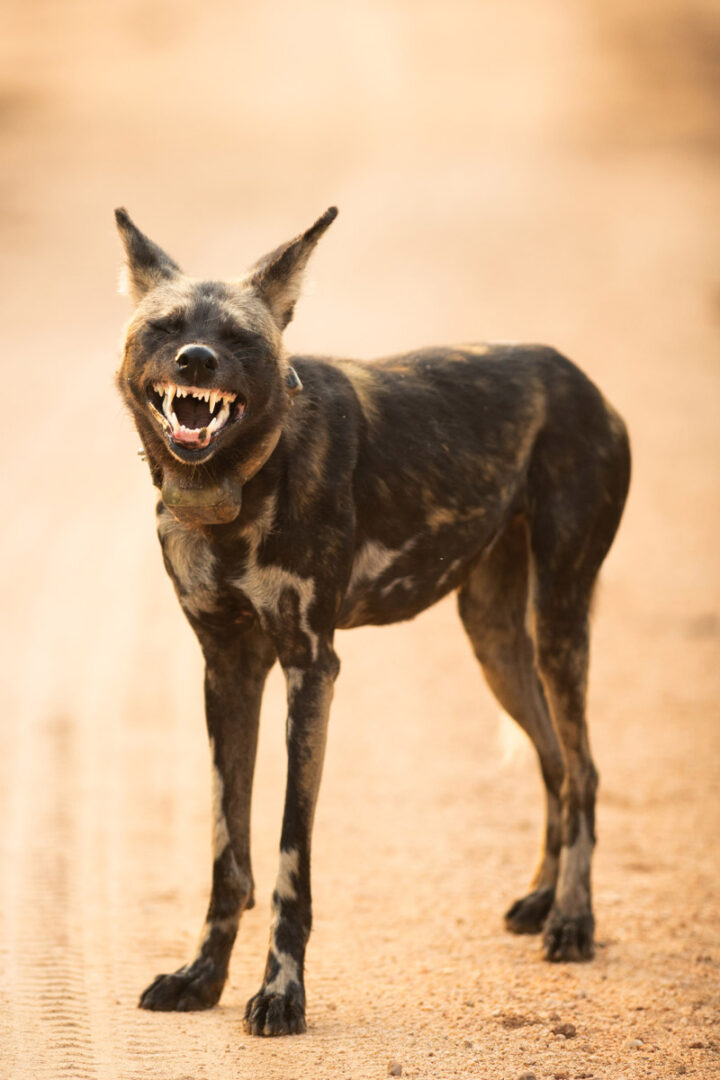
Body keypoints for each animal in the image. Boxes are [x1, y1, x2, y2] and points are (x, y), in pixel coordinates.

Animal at [115, 206, 630, 1036]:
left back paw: (573, 921)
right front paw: (202, 977)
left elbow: (288, 860)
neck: (236, 485)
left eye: (239, 339)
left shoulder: (310, 669)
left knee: (584, 771)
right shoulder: (227, 670)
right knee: (555, 762)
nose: (195, 360)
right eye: (166, 327)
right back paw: (542, 900)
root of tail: (578, 378)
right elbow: (229, 855)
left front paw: (280, 994)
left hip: (557, 620)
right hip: (495, 640)